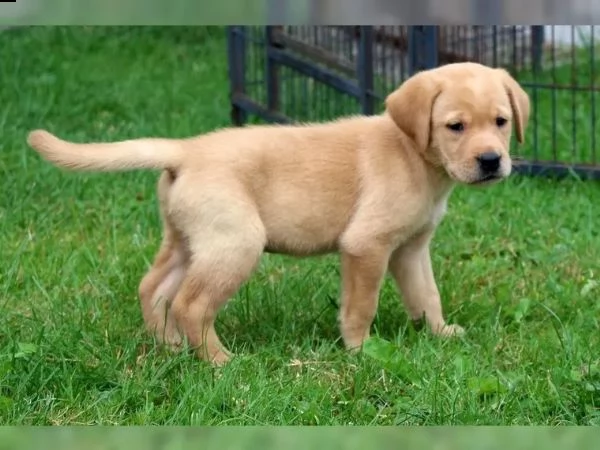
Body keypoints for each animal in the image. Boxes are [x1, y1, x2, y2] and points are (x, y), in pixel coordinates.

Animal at [27, 62, 528, 366]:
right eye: (455, 126)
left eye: (501, 122)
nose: (491, 161)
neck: (413, 154)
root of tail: (185, 150)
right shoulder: (366, 246)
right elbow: (361, 305)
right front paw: (360, 350)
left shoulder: (411, 248)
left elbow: (427, 295)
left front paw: (439, 333)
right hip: (235, 241)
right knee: (191, 304)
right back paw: (219, 361)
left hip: (189, 241)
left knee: (153, 287)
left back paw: (169, 347)